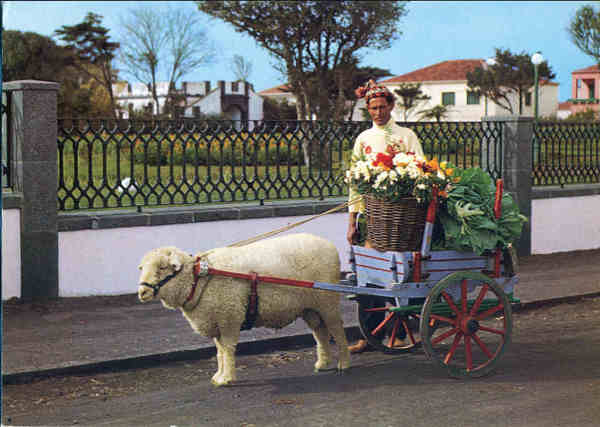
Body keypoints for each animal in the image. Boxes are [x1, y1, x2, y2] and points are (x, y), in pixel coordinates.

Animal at [138, 234, 350, 388]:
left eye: (162, 267)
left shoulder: (229, 318)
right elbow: (219, 351)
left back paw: (344, 363)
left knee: (337, 330)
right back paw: (322, 364)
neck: (198, 279)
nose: (142, 292)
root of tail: (328, 244)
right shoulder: (217, 321)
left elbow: (228, 349)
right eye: (141, 268)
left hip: (328, 301)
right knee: (320, 333)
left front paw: (227, 378)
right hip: (310, 307)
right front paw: (219, 375)